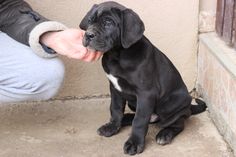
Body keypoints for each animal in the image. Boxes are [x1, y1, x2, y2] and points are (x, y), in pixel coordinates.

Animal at [79, 1, 206, 155]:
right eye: (90, 21)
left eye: (108, 22)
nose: (88, 35)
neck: (117, 55)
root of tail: (188, 106)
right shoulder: (114, 88)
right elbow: (115, 109)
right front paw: (112, 126)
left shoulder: (146, 93)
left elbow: (139, 120)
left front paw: (134, 143)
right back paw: (124, 119)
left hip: (172, 105)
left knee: (178, 122)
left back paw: (165, 134)